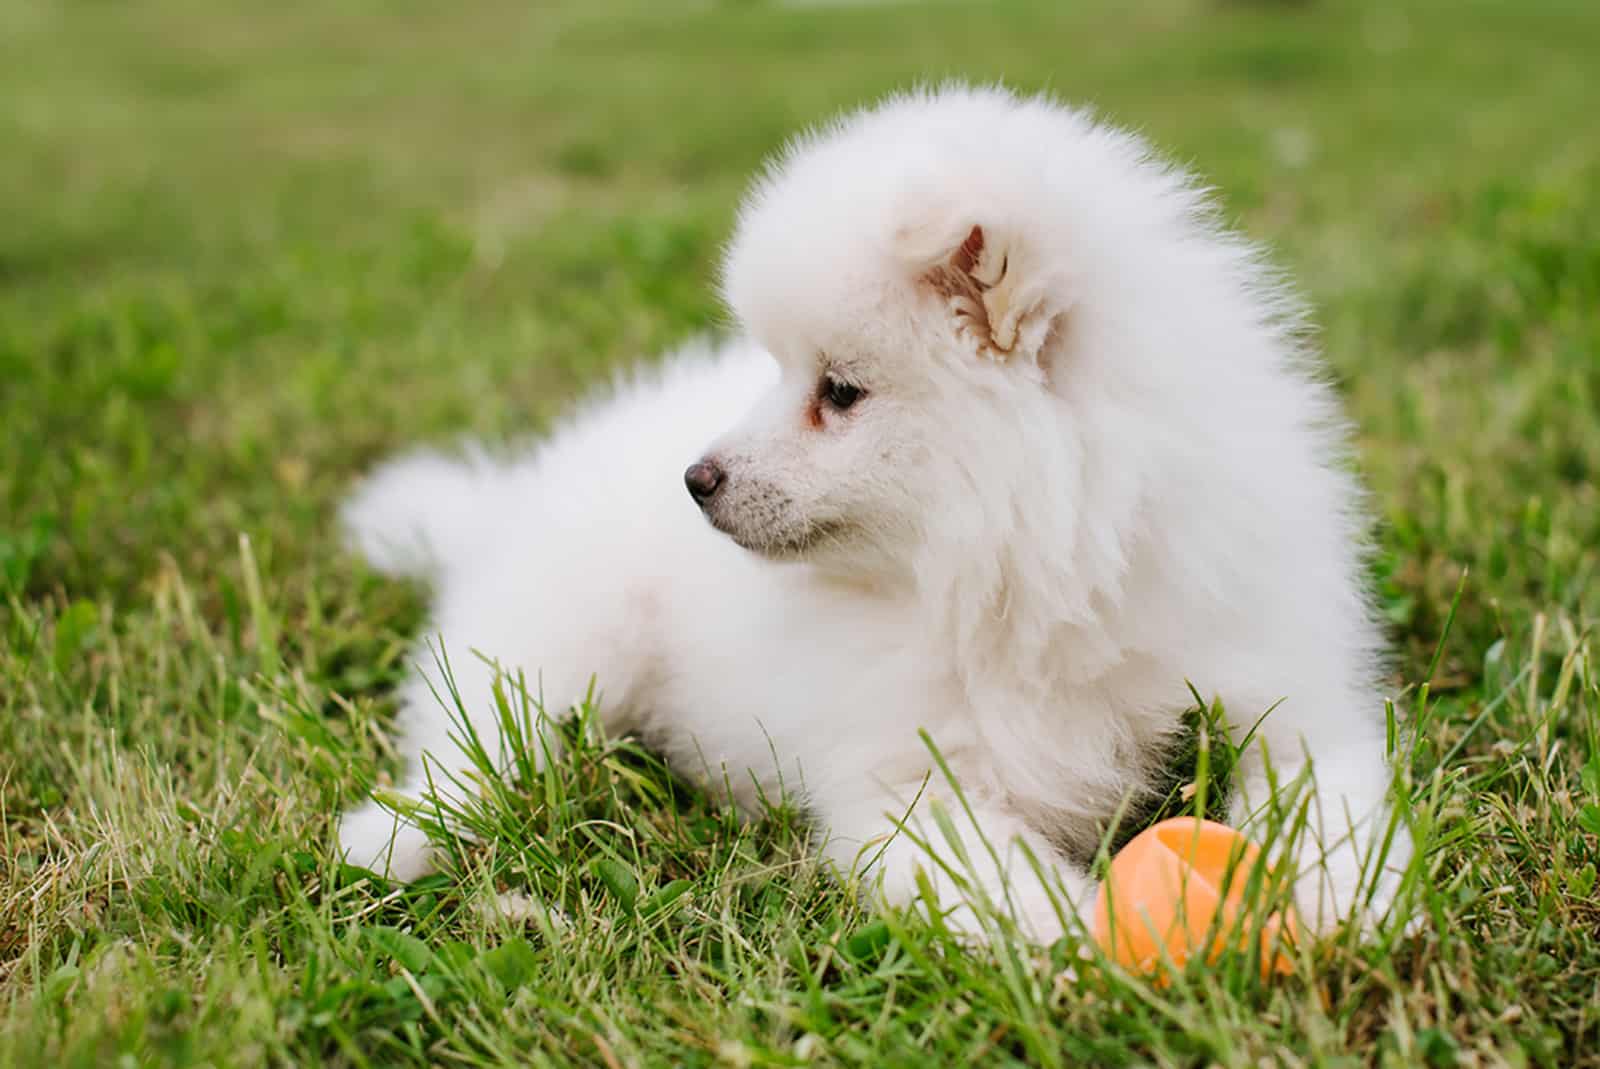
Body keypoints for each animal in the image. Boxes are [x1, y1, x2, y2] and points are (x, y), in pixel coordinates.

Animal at [340, 83, 1414, 940]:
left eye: (840, 390)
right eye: (782, 371)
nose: (696, 478)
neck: (1035, 575)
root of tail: (515, 498)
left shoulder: (1285, 694)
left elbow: (1333, 804)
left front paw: (1342, 904)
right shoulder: (906, 787)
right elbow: (1006, 882)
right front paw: (1087, 942)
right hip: (556, 642)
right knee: (471, 750)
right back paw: (389, 840)